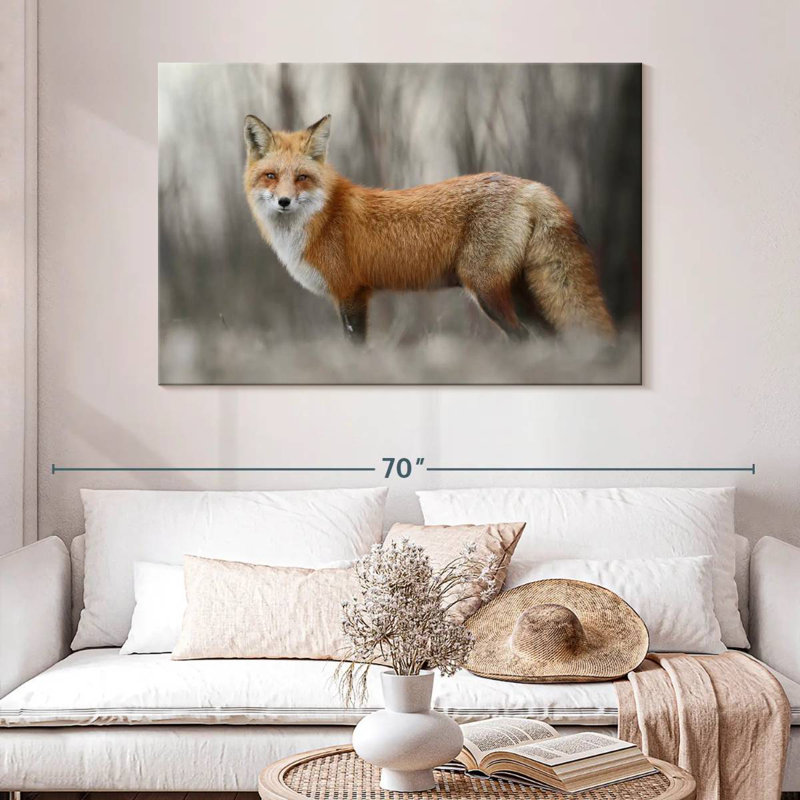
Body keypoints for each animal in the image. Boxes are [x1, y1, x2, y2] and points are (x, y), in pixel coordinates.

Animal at [243, 114, 615, 344]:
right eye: (271, 176)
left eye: (302, 177)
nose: (284, 202)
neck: (321, 219)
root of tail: (530, 185)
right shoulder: (351, 295)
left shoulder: (351, 292)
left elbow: (356, 347)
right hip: (521, 294)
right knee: (551, 338)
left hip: (486, 290)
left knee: (522, 336)